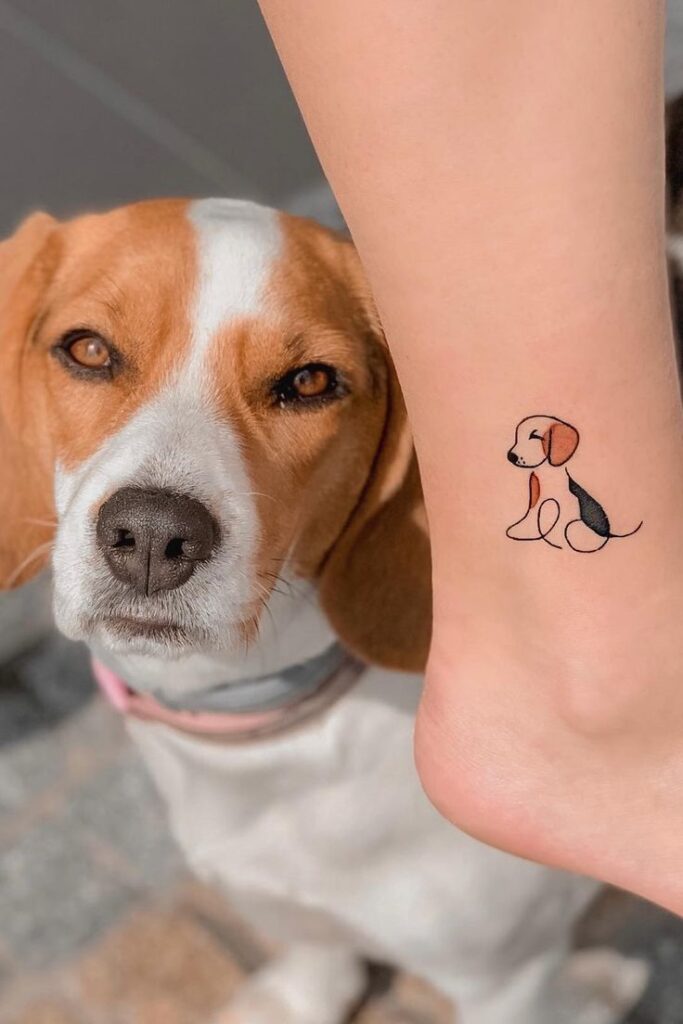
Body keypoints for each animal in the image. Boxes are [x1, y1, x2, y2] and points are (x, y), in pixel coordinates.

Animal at [505, 413, 643, 552]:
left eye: (535, 436)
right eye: (517, 437)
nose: (511, 456)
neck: (546, 474)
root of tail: (609, 533)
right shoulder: (535, 498)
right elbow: (532, 514)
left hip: (573, 527)